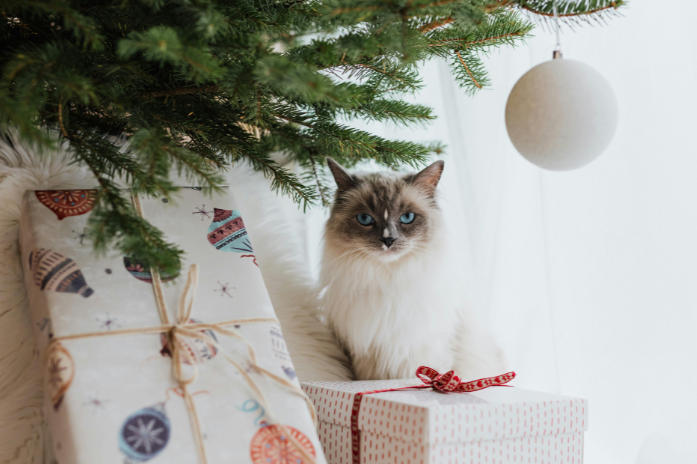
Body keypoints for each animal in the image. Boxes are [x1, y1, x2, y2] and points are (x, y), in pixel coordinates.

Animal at [320, 158, 506, 378]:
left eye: (407, 217)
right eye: (365, 219)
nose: (388, 240)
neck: (389, 282)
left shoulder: (421, 355)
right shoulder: (364, 359)